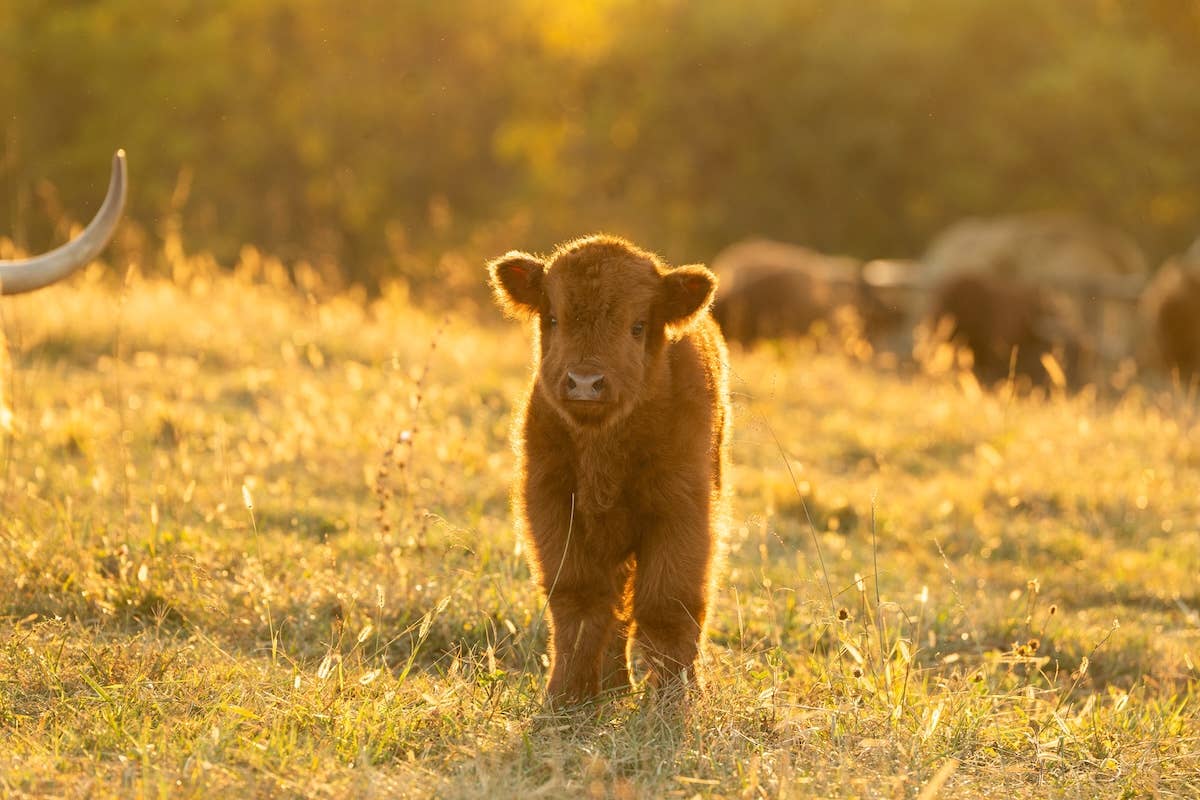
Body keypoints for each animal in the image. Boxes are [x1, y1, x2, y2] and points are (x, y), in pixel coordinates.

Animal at [487, 234, 730, 706]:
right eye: (553, 318)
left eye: (637, 325)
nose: (585, 382)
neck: (603, 450)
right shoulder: (553, 509)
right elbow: (579, 605)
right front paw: (566, 697)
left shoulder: (682, 514)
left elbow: (668, 606)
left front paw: (674, 700)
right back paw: (614, 686)